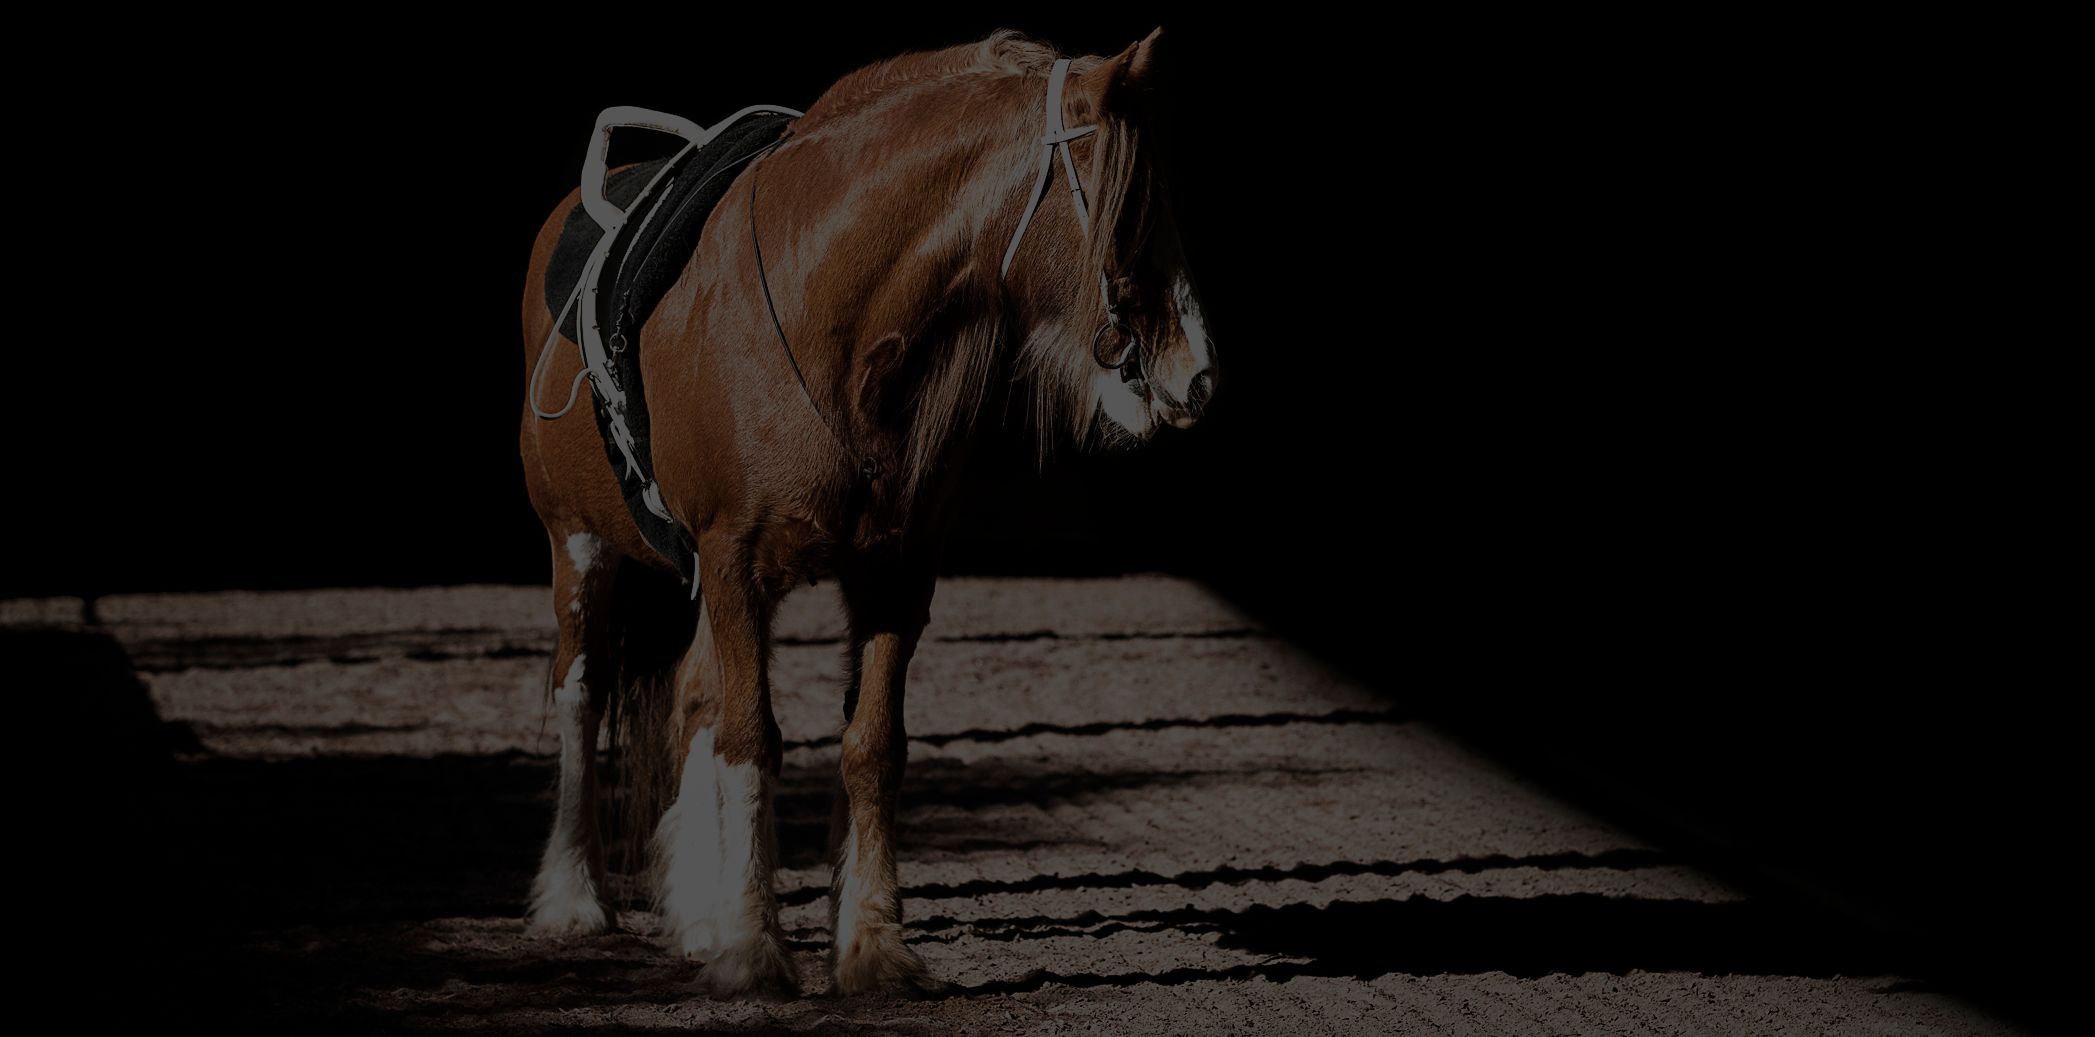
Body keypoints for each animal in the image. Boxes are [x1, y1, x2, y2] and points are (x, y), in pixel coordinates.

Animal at [516, 27, 1216, 996]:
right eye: (1131, 205)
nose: (1197, 373)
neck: (830, 321)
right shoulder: (734, 563)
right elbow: (751, 738)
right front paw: (754, 947)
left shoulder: (893, 572)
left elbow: (869, 746)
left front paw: (871, 943)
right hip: (580, 548)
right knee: (581, 693)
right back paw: (576, 897)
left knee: (690, 694)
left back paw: (694, 913)